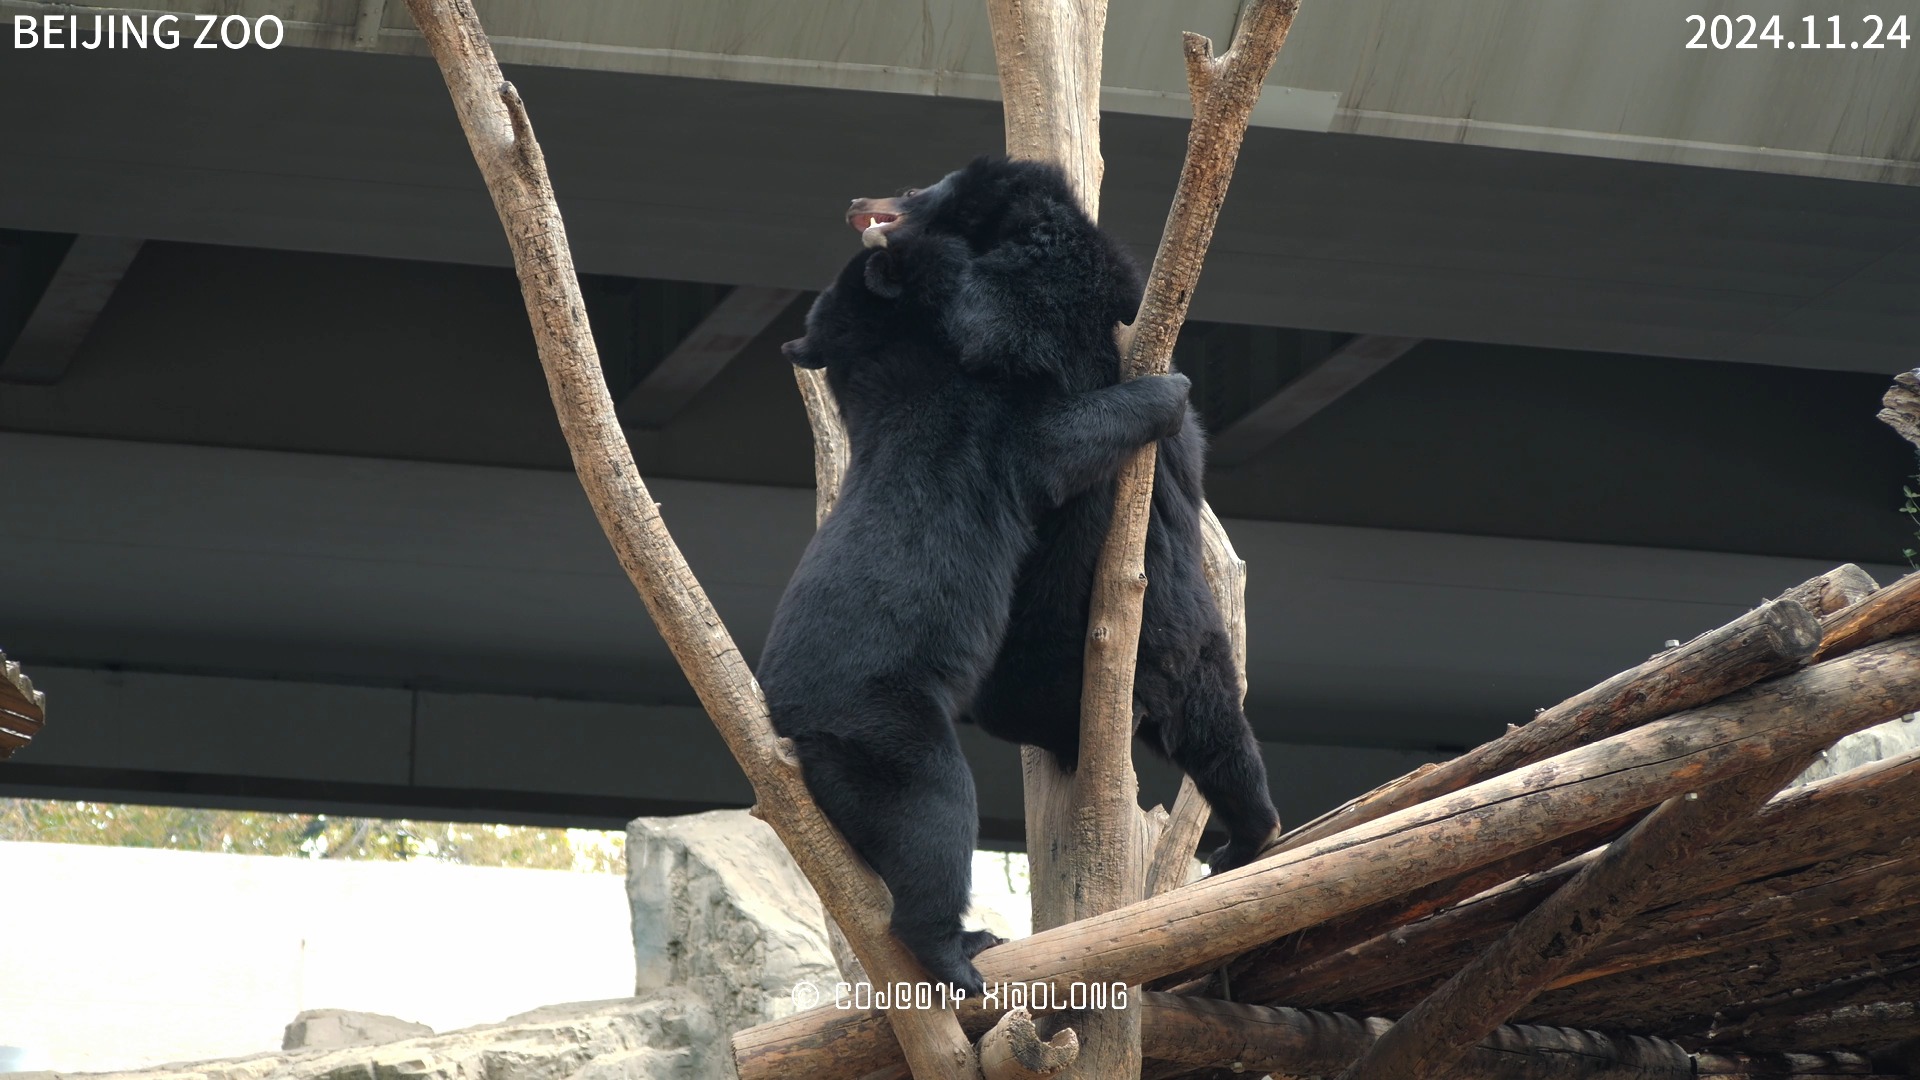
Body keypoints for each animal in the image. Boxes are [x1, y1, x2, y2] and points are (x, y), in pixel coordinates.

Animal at [758, 220, 1192, 995]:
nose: (879, 223)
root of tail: (792, 730)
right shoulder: (981, 434)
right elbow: (1057, 441)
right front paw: (1168, 388)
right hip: (883, 723)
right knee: (934, 814)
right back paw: (956, 953)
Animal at [846, 156, 1284, 874]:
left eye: (912, 191)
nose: (859, 200)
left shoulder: (1052, 288)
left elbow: (999, 316)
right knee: (1218, 735)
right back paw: (1243, 833)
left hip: (1086, 642)